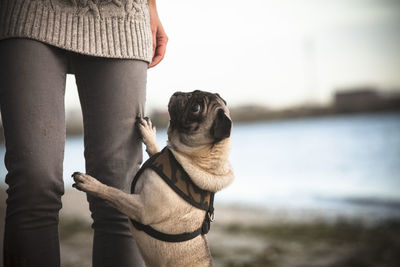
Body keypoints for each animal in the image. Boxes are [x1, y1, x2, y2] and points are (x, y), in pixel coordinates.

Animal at [72, 90, 234, 267]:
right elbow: (154, 149)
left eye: (196, 108)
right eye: (192, 92)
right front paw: (148, 133)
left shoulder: (141, 208)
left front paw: (91, 184)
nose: (179, 93)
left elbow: (115, 193)